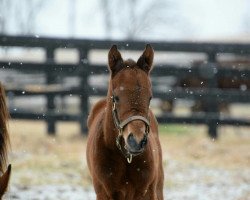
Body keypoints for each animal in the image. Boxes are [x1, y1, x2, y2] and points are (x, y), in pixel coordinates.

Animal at [86, 44, 164, 199]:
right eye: (116, 97)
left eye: (150, 98)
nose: (136, 141)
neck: (125, 157)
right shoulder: (104, 193)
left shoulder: (147, 192)